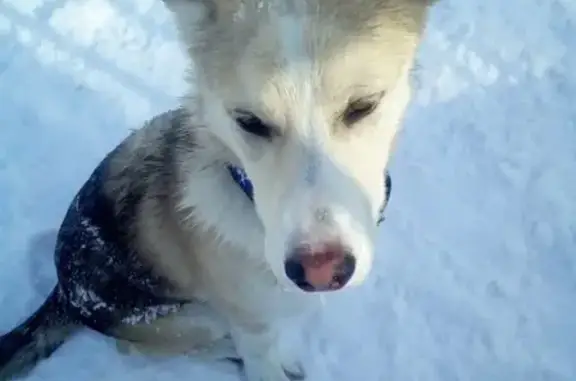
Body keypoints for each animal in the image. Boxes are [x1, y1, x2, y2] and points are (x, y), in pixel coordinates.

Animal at [0, 0, 432, 378]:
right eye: (249, 121)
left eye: (364, 106)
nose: (321, 270)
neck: (244, 193)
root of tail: (63, 291)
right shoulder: (251, 327)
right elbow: (261, 361)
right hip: (194, 317)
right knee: (141, 347)